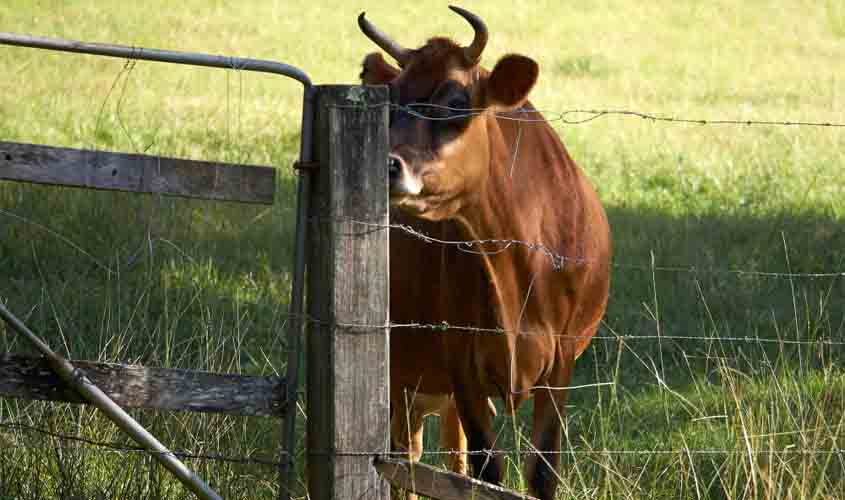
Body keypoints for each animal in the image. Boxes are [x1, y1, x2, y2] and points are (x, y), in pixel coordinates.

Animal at [360, 7, 608, 500]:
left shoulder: (562, 362)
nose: (387, 164)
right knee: (405, 456)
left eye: (456, 102)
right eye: (390, 100)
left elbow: (541, 472)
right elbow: (486, 472)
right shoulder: (462, 362)